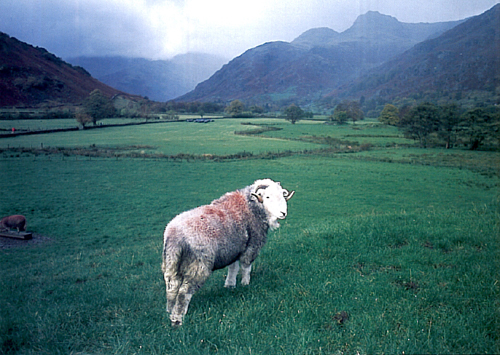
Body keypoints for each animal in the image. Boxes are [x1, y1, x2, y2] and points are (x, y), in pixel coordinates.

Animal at [161, 179, 292, 326]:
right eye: (268, 197)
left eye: (282, 195)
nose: (283, 213)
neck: (253, 207)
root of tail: (175, 235)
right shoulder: (251, 246)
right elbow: (246, 267)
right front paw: (245, 283)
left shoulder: (234, 249)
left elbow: (233, 268)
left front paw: (230, 285)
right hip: (198, 265)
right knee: (184, 292)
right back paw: (177, 318)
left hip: (172, 261)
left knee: (172, 286)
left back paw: (169, 310)